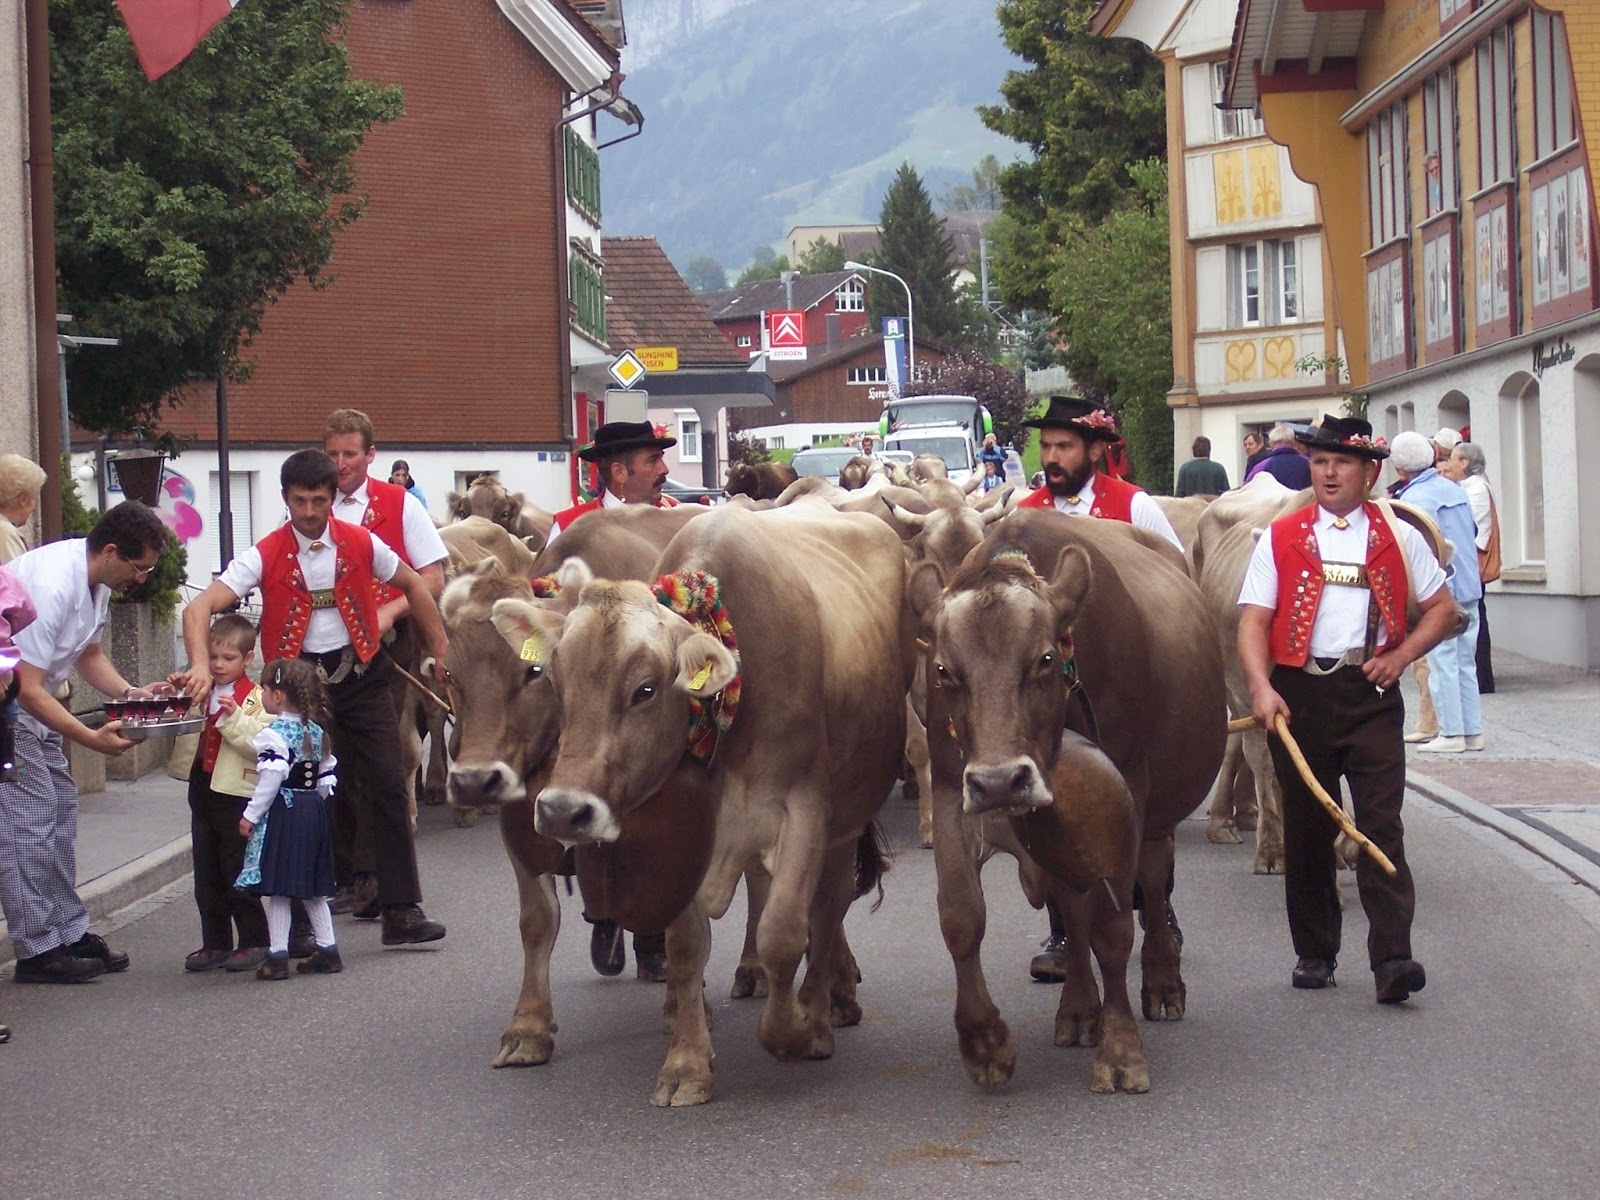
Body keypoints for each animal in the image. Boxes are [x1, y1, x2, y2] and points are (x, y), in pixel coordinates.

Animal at [488, 503, 911, 1105]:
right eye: (554, 680)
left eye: (645, 689)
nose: (562, 811)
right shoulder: (685, 834)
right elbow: (687, 946)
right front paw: (688, 1063)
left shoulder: (804, 810)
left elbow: (784, 932)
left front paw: (794, 1031)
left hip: (847, 814)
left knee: (827, 909)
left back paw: (820, 1012)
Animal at [908, 508, 1226, 1093]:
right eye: (943, 669)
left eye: (1046, 658)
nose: (1000, 782)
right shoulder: (950, 790)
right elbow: (962, 916)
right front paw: (984, 1042)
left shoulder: (1130, 793)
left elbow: (1114, 928)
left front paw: (1121, 1050)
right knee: (1071, 905)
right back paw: (1078, 1009)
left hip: (1155, 817)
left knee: (1153, 882)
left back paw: (1163, 982)